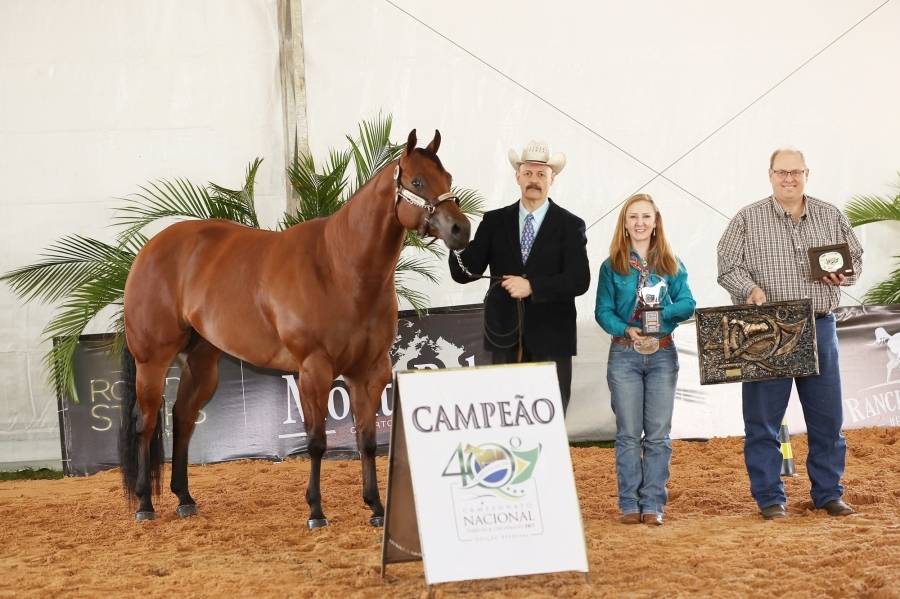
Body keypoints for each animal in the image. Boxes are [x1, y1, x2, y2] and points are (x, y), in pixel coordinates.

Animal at [119, 129, 471, 528]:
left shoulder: (369, 371)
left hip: (202, 362)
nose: (461, 229)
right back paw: (145, 504)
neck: (339, 267)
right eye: (417, 181)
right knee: (146, 423)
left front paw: (377, 509)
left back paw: (184, 498)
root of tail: (149, 250)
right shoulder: (314, 371)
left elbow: (366, 440)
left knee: (183, 418)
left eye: (448, 178)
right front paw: (316, 511)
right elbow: (317, 441)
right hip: (152, 361)